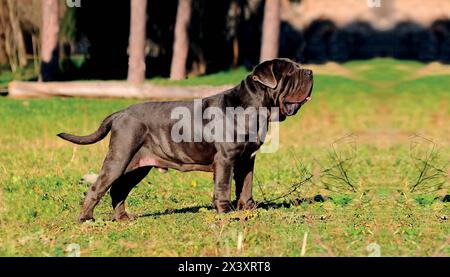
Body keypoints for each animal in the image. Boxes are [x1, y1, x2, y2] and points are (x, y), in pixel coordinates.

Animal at [57, 57, 312, 221]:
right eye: (290, 73)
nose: (310, 72)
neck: (253, 107)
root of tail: (120, 113)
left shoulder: (247, 160)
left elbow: (246, 186)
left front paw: (249, 209)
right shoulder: (226, 159)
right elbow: (224, 187)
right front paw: (226, 213)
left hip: (137, 166)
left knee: (118, 190)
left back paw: (123, 218)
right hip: (119, 158)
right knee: (97, 187)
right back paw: (86, 219)